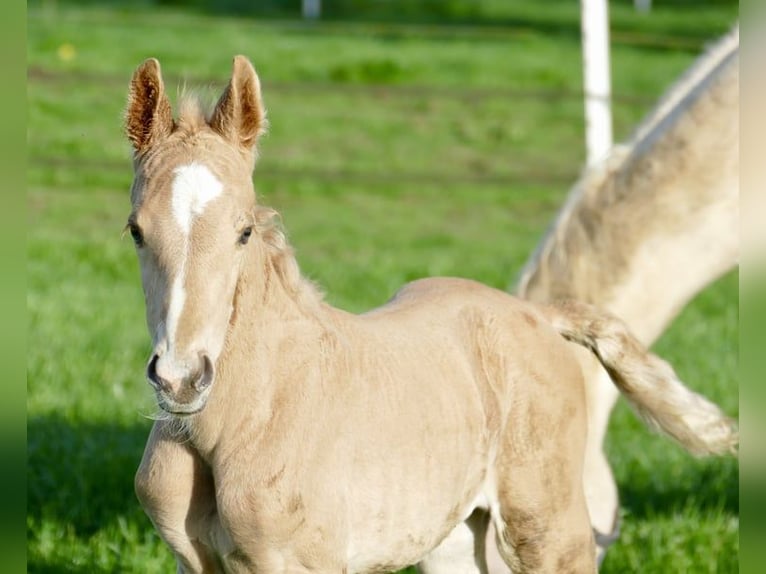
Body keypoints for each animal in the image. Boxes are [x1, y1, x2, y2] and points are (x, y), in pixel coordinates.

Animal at [127, 55, 736, 574]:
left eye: (244, 231)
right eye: (136, 230)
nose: (181, 379)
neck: (252, 414)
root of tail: (539, 315)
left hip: (549, 530)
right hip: (460, 540)